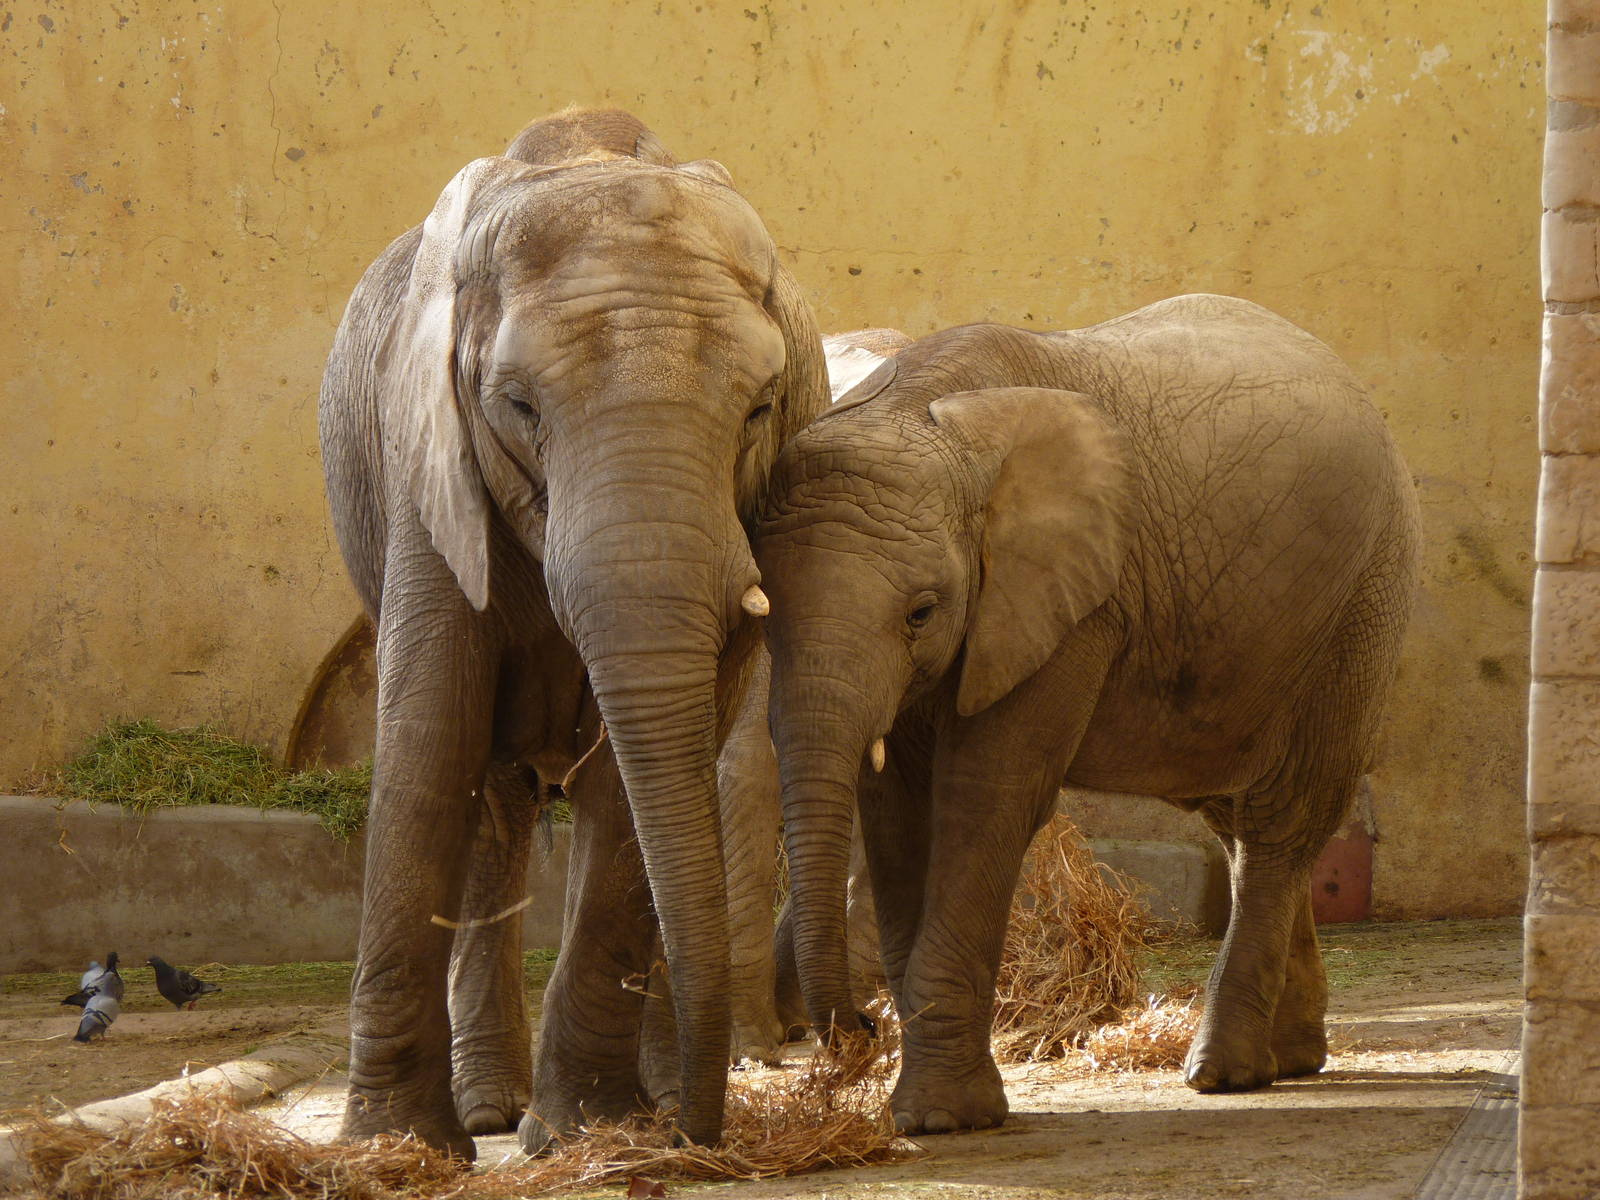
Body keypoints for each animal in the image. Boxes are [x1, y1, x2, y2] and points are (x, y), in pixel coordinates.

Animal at [318, 108, 829, 1156]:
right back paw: (490, 1108)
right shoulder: (427, 460)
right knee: (491, 802)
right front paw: (397, 1147)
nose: (705, 1138)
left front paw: (590, 1131)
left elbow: (631, 785)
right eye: (518, 405)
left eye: (762, 408)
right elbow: (429, 740)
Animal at [753, 293, 1421, 1135]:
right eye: (763, 612)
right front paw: (925, 1105)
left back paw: (1224, 1073)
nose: (855, 1032)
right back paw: (1292, 1059)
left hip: (1362, 602)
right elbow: (898, 815)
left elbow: (983, 802)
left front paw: (942, 1119)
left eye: (921, 612)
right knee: (1238, 820)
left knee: (1282, 819)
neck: (920, 410)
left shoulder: (1073, 608)